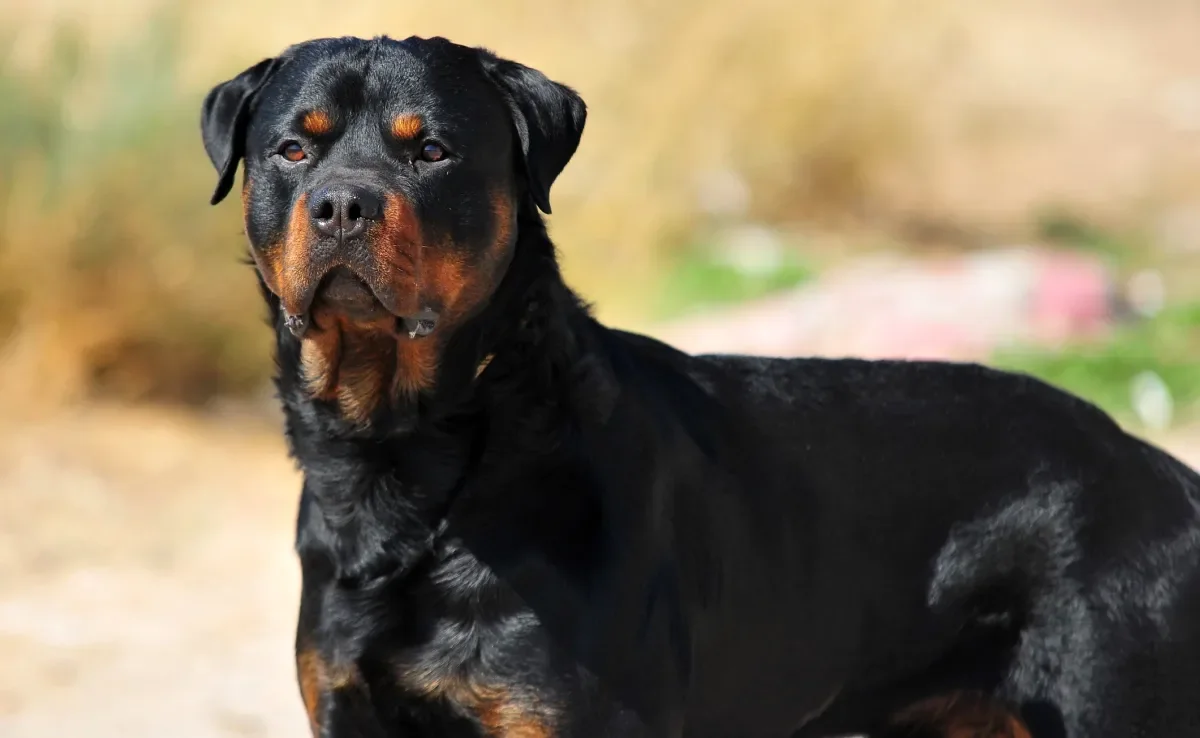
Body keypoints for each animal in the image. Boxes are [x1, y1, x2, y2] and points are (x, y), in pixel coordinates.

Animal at [201, 36, 1200, 738]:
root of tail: (1165, 475)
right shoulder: (346, 705)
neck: (410, 457)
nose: (343, 204)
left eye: (433, 151)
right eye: (293, 149)